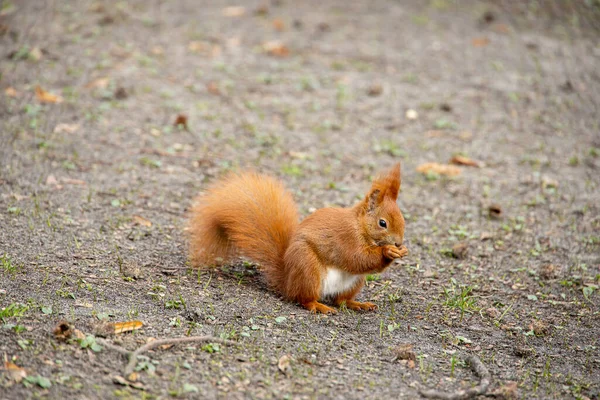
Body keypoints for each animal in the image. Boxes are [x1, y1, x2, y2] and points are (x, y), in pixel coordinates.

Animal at [189, 162, 408, 312]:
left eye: (403, 219)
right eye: (383, 223)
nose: (398, 242)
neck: (360, 226)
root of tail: (287, 281)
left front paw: (401, 250)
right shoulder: (346, 238)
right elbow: (357, 258)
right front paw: (388, 251)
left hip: (354, 282)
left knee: (340, 300)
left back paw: (357, 304)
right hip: (308, 268)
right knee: (303, 299)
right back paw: (318, 306)